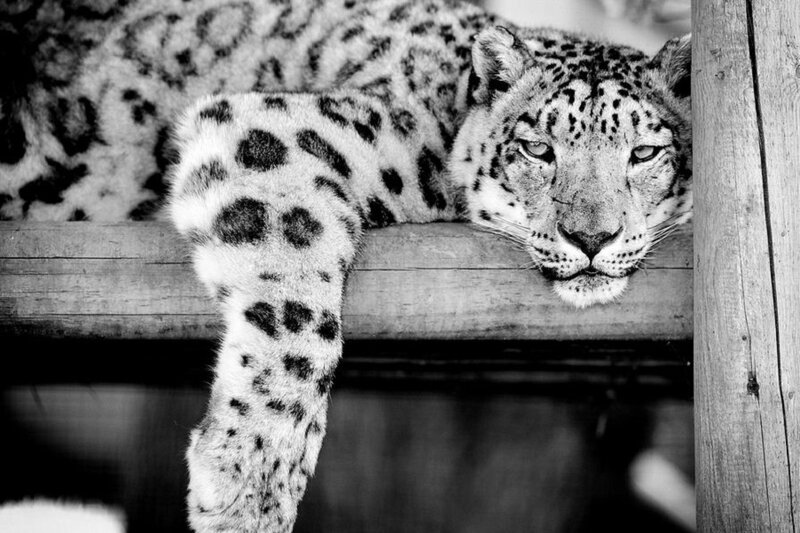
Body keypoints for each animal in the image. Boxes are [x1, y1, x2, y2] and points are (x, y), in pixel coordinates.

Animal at [1, 0, 692, 530]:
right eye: (537, 149)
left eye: (645, 152)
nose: (591, 237)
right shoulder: (273, 133)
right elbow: (296, 312)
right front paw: (250, 487)